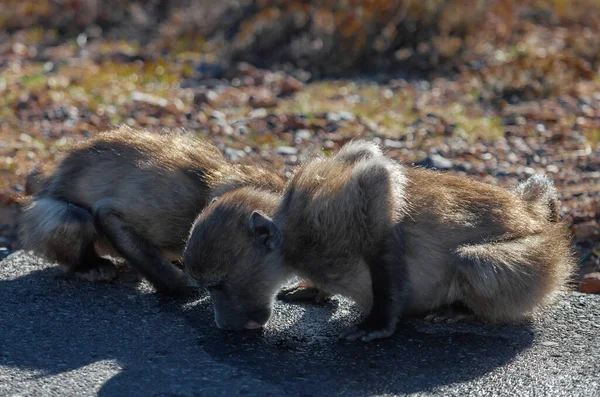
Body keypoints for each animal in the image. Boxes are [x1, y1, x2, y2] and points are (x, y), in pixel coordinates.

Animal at [184, 138, 576, 338]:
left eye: (218, 286)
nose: (222, 324)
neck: (293, 240)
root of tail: (533, 216)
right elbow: (366, 152)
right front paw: (315, 289)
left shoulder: (329, 217)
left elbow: (379, 180)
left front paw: (379, 322)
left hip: (541, 258)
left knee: (472, 260)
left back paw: (460, 312)